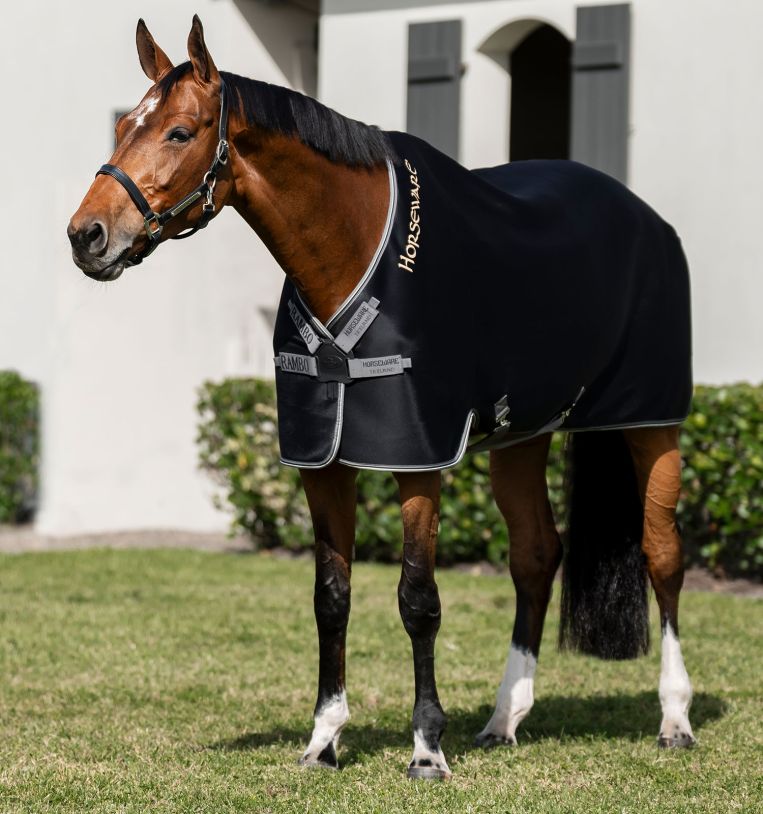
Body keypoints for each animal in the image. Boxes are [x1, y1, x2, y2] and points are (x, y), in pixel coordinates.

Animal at [68, 16, 696, 780]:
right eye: (123, 123)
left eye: (181, 132)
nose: (87, 235)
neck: (350, 250)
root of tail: (646, 218)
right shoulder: (323, 463)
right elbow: (330, 598)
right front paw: (323, 739)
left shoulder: (417, 459)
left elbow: (417, 598)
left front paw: (426, 748)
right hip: (521, 437)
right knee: (534, 556)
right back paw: (503, 718)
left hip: (651, 422)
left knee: (661, 555)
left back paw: (674, 718)